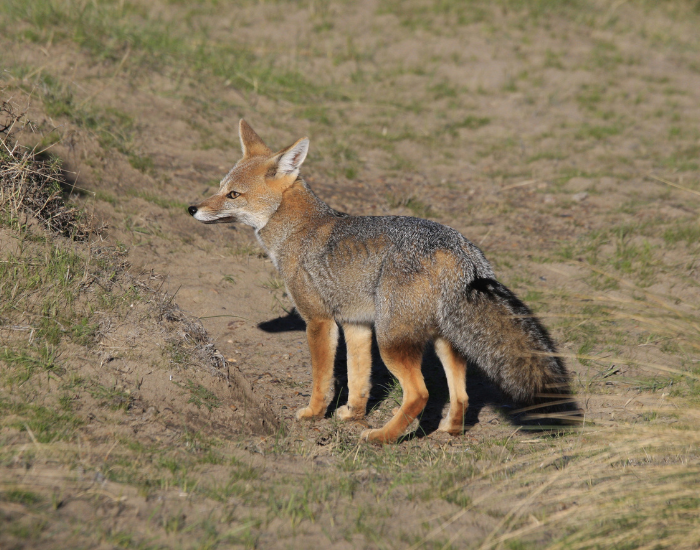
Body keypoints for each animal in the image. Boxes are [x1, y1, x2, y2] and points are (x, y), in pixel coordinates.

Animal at [188, 120, 573, 444]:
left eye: (233, 195)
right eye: (220, 187)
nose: (191, 208)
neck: (298, 228)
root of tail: (458, 247)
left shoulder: (319, 321)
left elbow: (323, 379)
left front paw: (313, 414)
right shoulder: (356, 324)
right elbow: (359, 378)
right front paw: (352, 414)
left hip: (392, 340)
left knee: (419, 394)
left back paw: (382, 437)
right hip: (442, 340)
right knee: (460, 393)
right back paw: (448, 431)